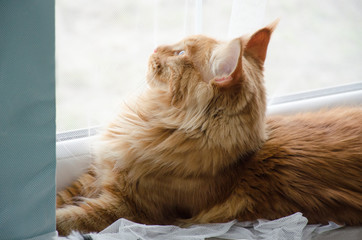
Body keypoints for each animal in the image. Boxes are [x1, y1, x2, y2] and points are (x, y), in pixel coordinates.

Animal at [56, 21, 362, 236]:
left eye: (180, 52)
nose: (154, 47)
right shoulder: (95, 175)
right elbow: (60, 196)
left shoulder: (130, 209)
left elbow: (70, 218)